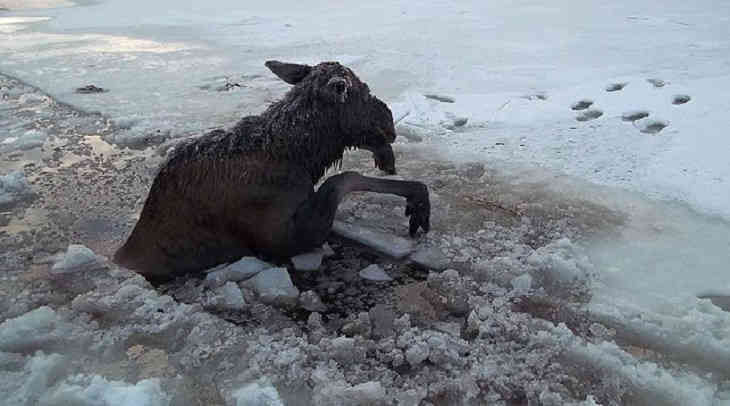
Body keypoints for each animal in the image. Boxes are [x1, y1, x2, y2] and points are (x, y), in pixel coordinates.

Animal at [114, 61, 430, 282]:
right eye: (362, 93)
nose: (390, 123)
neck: (304, 158)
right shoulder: (279, 240)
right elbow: (344, 178)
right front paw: (418, 202)